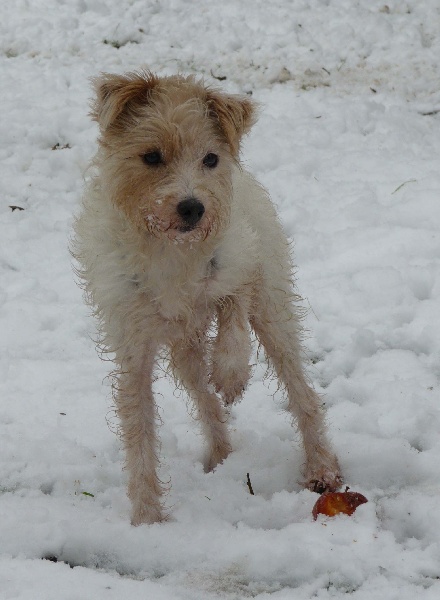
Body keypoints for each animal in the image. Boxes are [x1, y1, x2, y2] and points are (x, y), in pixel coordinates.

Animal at [72, 70, 342, 524]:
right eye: (151, 157)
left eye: (211, 159)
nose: (193, 208)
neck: (172, 251)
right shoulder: (133, 349)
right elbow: (138, 429)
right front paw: (147, 517)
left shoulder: (240, 267)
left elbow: (233, 313)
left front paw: (232, 376)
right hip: (185, 352)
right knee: (206, 401)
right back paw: (220, 454)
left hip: (274, 312)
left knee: (301, 392)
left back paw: (321, 466)